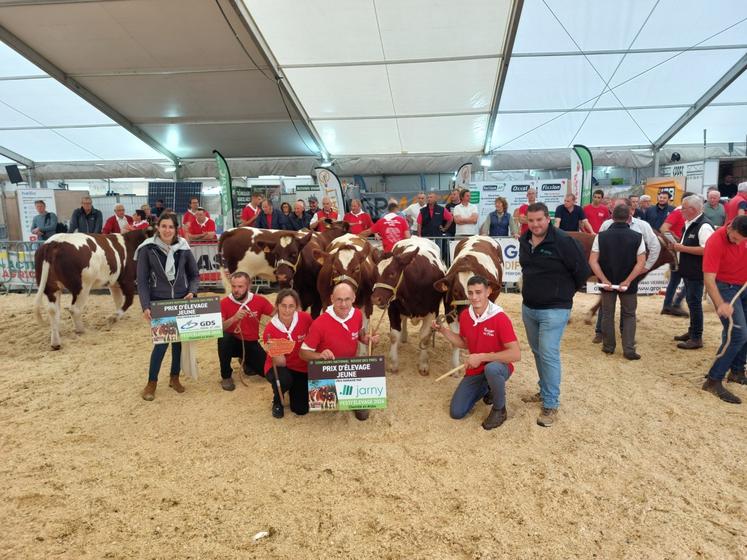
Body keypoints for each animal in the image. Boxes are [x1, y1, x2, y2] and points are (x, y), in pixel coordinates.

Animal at [370, 235, 444, 372]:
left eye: (392, 273)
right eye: (375, 273)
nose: (375, 299)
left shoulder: (432, 312)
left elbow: (424, 338)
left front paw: (423, 364)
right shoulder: (393, 308)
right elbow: (394, 335)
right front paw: (394, 363)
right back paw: (403, 337)